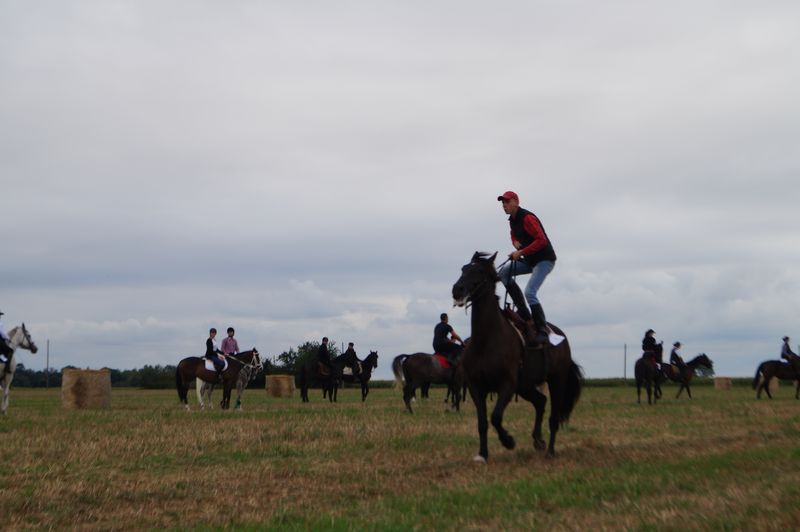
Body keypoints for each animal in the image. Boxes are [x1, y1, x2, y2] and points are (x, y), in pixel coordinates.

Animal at [450, 251, 580, 460]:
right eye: (463, 269)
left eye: (479, 271)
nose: (457, 289)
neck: (486, 339)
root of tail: (560, 336)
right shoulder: (476, 387)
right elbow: (482, 423)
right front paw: (483, 454)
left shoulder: (507, 385)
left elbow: (495, 417)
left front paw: (508, 441)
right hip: (525, 386)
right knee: (540, 402)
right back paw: (538, 440)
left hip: (556, 380)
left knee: (553, 416)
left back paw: (550, 451)